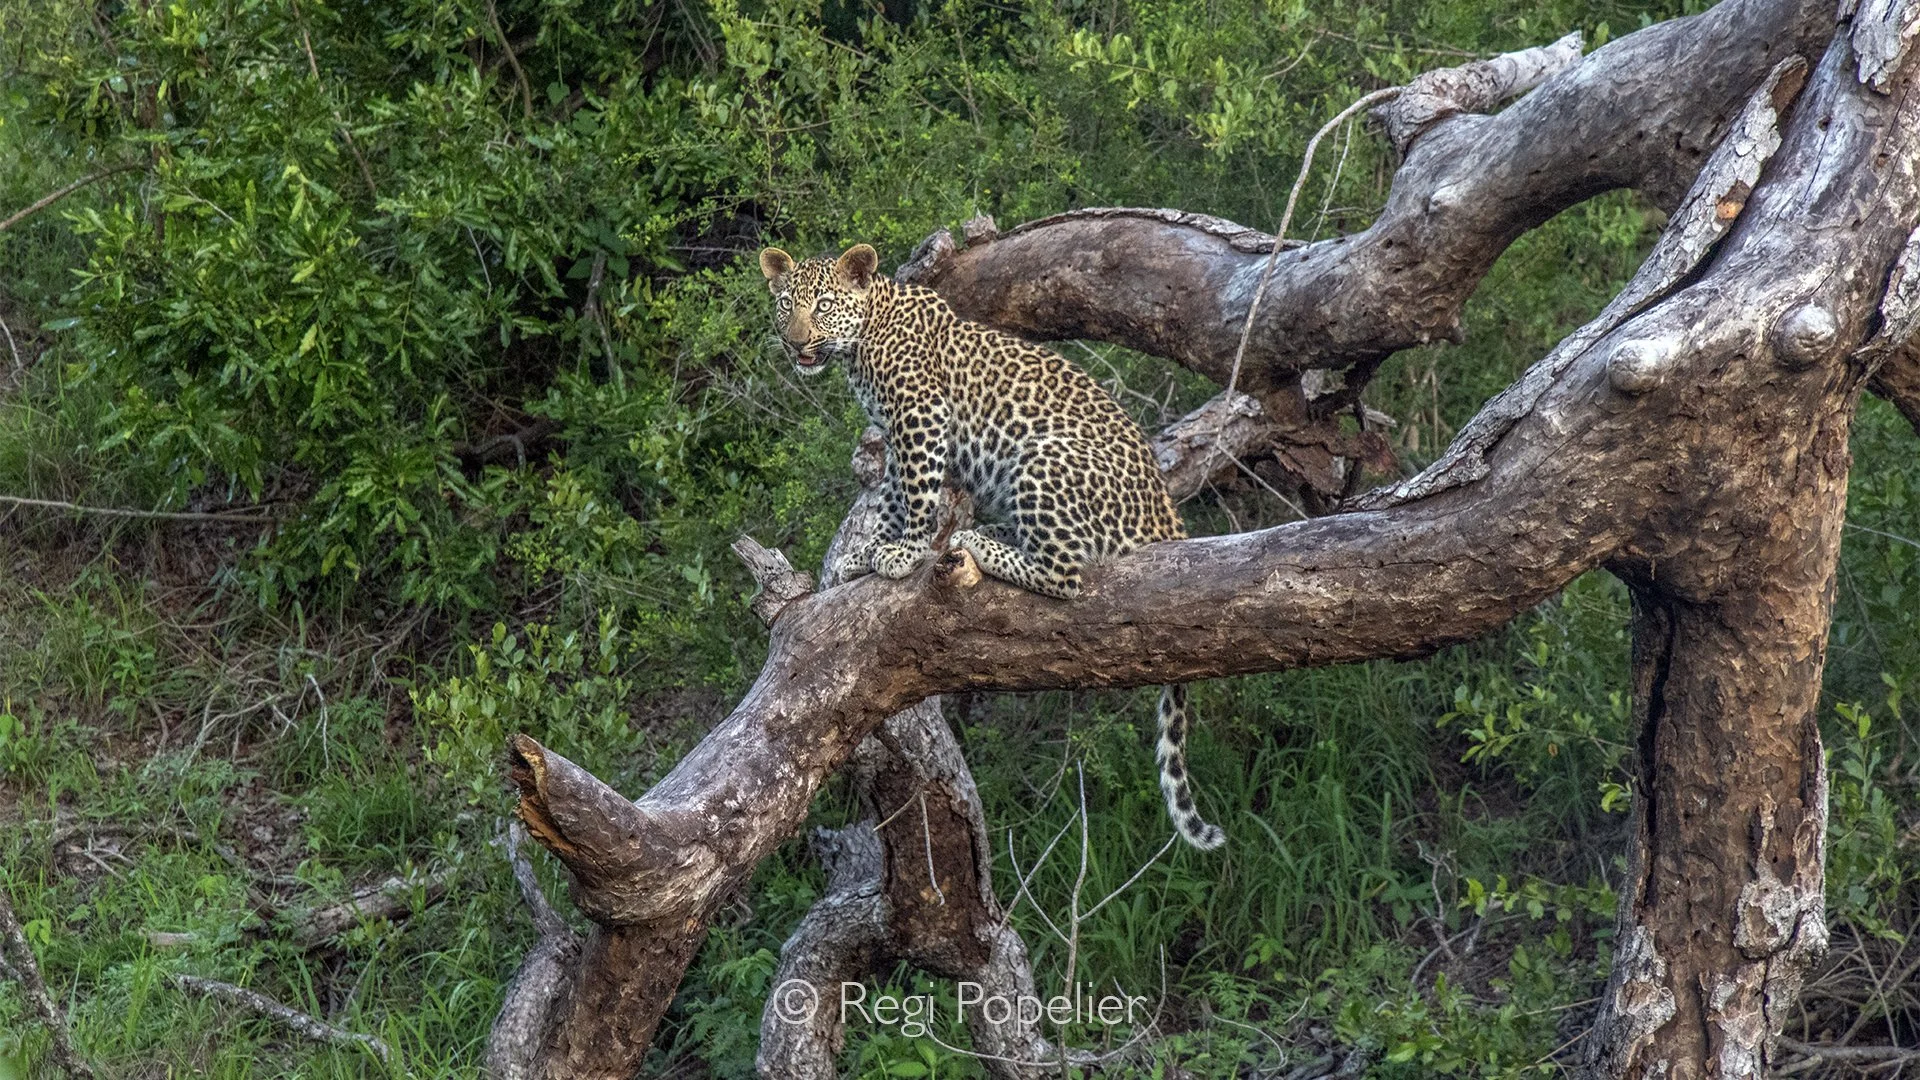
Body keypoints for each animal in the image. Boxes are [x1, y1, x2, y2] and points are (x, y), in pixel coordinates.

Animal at [760, 241, 1225, 851]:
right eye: (786, 304)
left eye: (824, 305)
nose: (794, 343)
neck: (865, 339)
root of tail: (1166, 515)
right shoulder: (897, 436)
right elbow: (891, 493)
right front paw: (862, 554)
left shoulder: (920, 418)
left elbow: (917, 492)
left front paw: (904, 552)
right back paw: (984, 534)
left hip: (1043, 457)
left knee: (1065, 574)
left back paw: (978, 545)